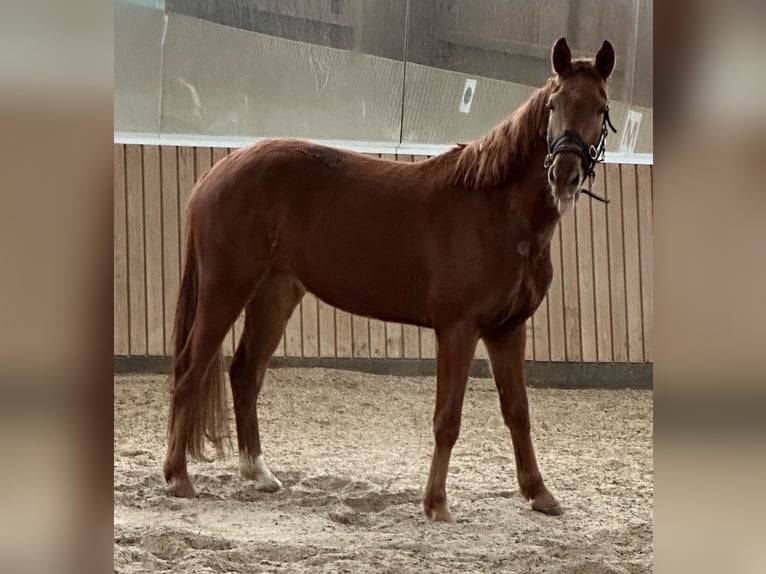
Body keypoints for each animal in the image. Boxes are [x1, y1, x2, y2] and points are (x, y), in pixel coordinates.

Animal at [163, 37, 616, 523]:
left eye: (601, 107)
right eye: (554, 104)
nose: (564, 175)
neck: (496, 210)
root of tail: (213, 176)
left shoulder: (508, 330)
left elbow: (518, 411)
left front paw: (539, 493)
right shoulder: (458, 330)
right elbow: (447, 418)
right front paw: (436, 504)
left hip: (274, 294)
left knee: (245, 374)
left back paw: (259, 473)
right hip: (226, 290)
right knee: (190, 370)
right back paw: (179, 478)